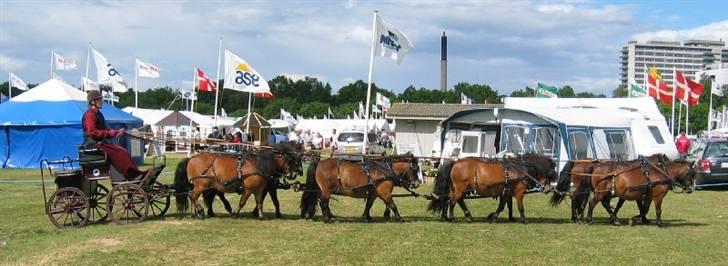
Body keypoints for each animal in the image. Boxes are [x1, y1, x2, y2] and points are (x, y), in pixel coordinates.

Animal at [426, 153, 556, 223]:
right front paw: (524, 220)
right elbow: (520, 207)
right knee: (452, 201)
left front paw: (493, 217)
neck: (521, 169)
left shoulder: (506, 193)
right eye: (551, 172)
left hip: (460, 189)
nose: (548, 189)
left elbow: (502, 206)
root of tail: (456, 162)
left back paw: (466, 216)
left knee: (456, 200)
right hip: (460, 188)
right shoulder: (519, 192)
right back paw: (451, 217)